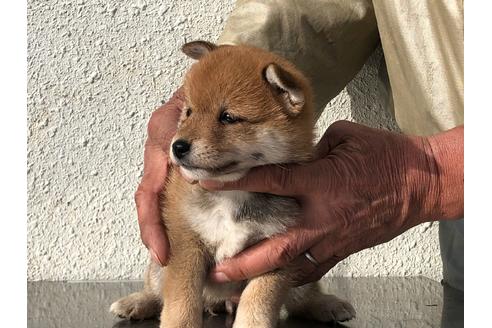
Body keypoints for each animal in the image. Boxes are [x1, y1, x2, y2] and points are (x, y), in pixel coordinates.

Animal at [109, 41, 356, 328]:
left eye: (228, 117)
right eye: (189, 112)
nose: (178, 146)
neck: (232, 193)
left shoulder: (277, 251)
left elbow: (259, 298)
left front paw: (252, 323)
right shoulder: (185, 243)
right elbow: (182, 298)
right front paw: (179, 322)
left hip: (300, 278)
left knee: (302, 298)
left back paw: (326, 304)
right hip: (158, 264)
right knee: (156, 290)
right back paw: (136, 302)